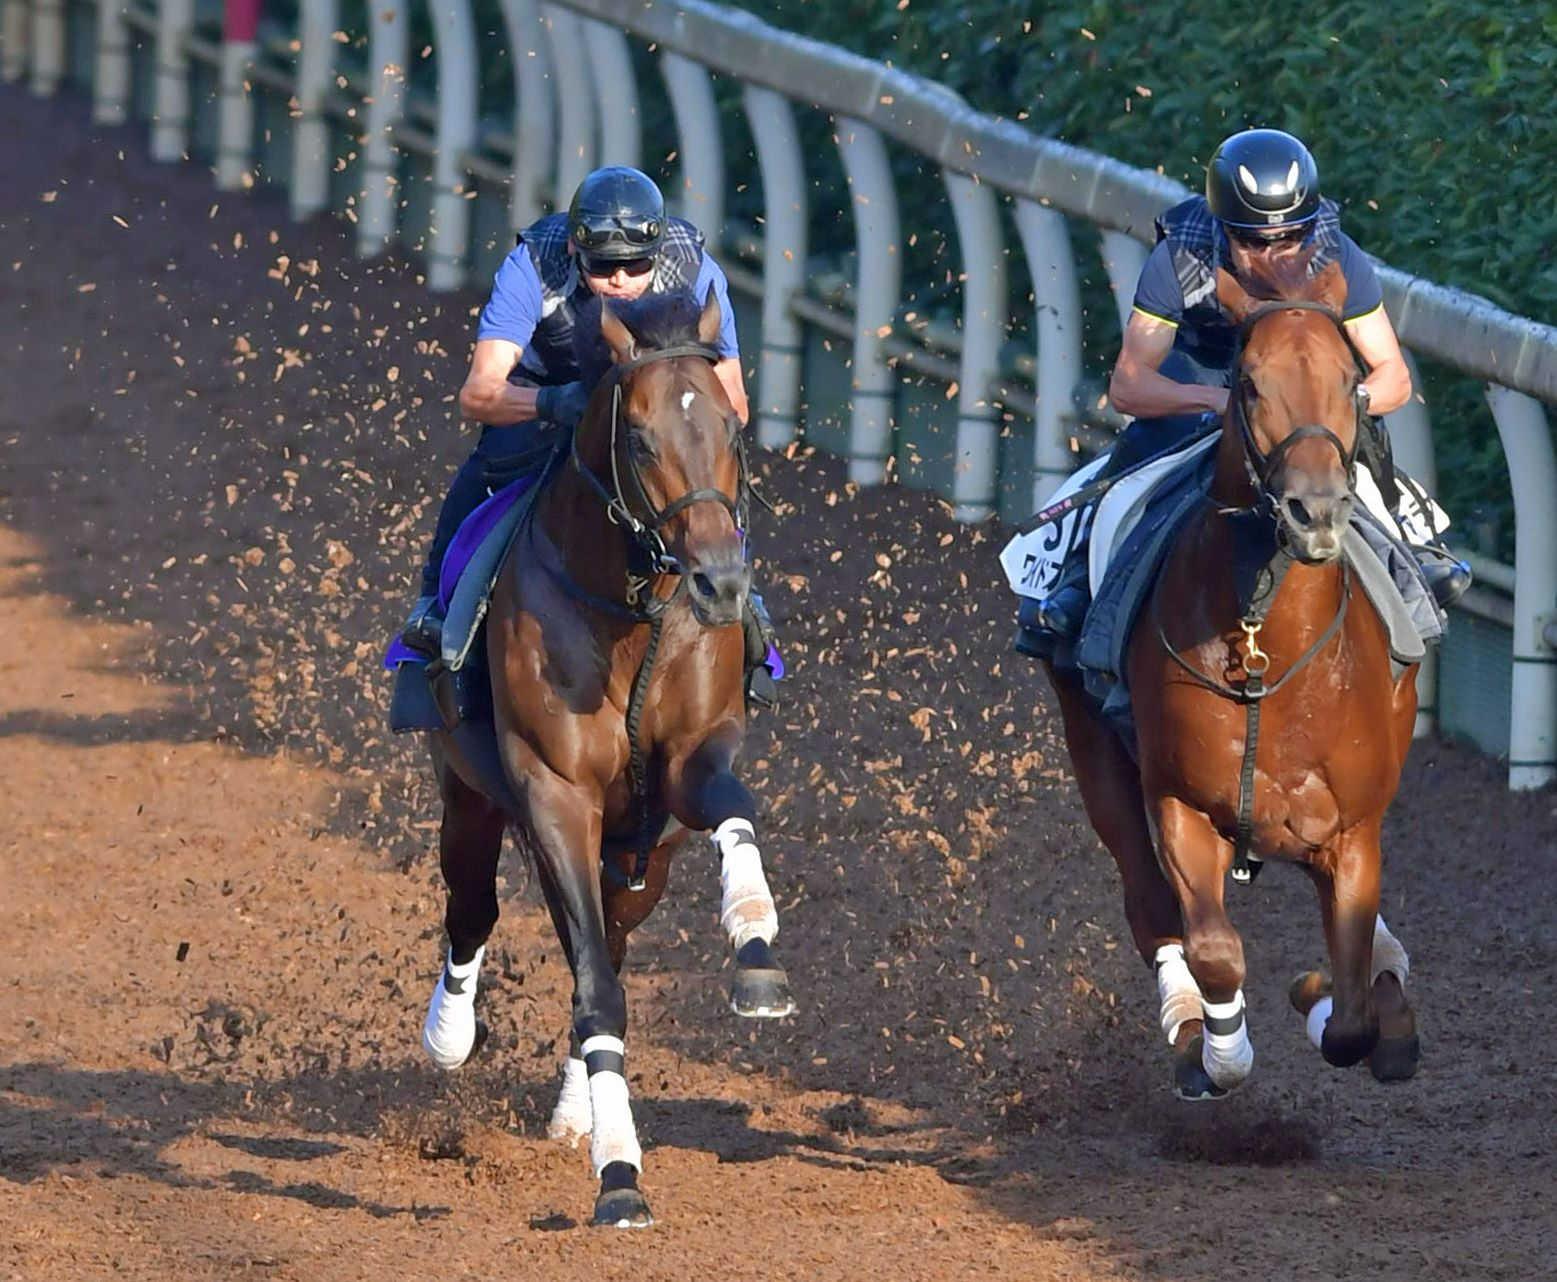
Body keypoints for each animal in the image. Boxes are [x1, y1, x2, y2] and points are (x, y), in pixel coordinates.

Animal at [420, 288, 797, 1221]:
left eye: (732, 430)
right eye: (639, 440)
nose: (720, 583)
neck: (630, 611)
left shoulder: (691, 760)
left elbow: (732, 811)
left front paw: (756, 949)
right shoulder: (553, 792)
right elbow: (594, 989)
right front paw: (619, 1174)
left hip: (640, 855)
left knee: (612, 937)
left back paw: (571, 1110)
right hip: (471, 795)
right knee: (475, 909)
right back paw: (449, 1034)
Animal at [1046, 260, 1426, 1102]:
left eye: (1350, 379)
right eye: (1247, 382)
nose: (1315, 511)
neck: (1264, 651)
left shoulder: (1350, 830)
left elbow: (1350, 1009)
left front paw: (1328, 996)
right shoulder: (1182, 804)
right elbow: (1214, 950)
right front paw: (1215, 1055)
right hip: (1092, 745)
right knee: (1148, 903)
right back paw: (1188, 1022)